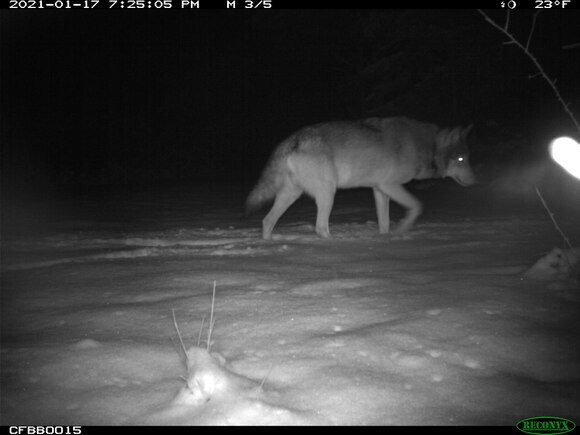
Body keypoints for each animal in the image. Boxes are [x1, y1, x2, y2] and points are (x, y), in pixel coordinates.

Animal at [246, 117, 476, 240]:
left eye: (467, 158)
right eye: (461, 159)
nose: (475, 181)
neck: (424, 146)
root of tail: (291, 140)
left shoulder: (379, 190)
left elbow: (384, 222)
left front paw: (386, 238)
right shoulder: (389, 185)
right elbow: (417, 206)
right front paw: (402, 230)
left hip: (292, 195)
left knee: (267, 221)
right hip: (328, 193)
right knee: (320, 227)